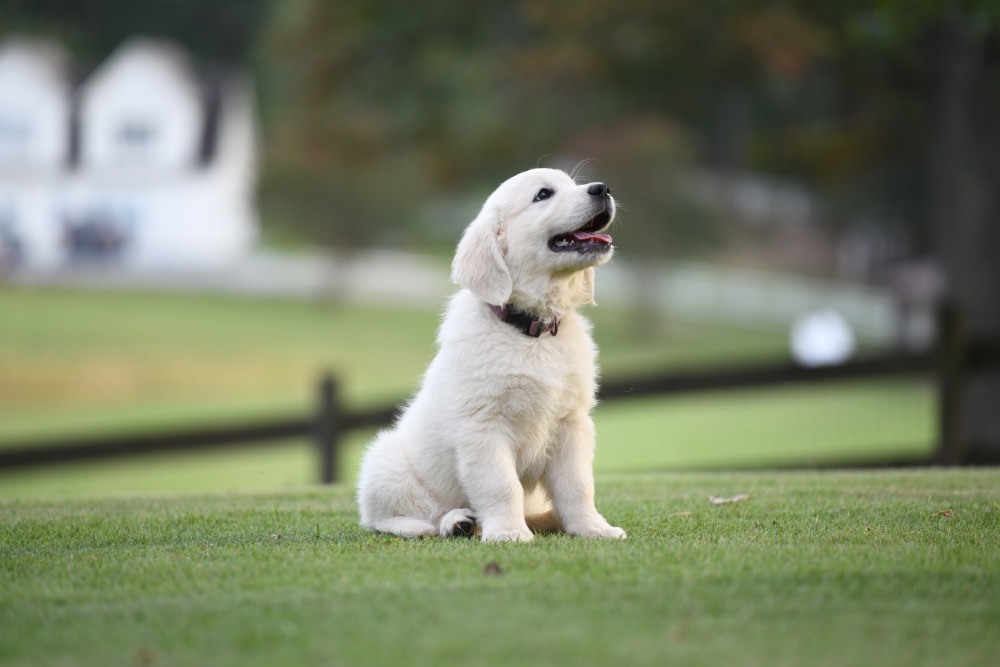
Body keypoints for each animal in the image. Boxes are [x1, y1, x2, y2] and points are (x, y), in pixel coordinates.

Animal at [358, 167, 624, 544]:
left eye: (572, 184)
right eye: (543, 194)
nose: (602, 189)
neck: (531, 331)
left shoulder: (571, 423)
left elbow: (578, 485)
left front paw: (592, 527)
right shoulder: (483, 426)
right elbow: (501, 485)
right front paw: (509, 532)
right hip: (383, 463)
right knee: (394, 519)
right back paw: (453, 522)